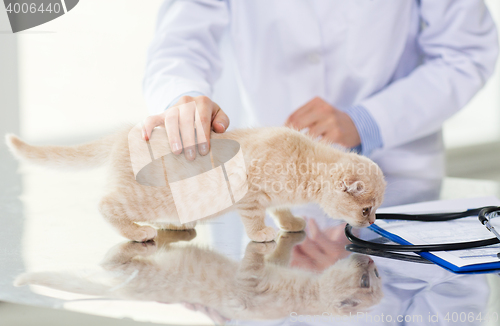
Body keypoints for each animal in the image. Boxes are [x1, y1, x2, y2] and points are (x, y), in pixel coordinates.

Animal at [4, 126, 386, 242]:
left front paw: (290, 222)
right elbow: (254, 216)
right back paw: (138, 232)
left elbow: (279, 208)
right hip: (146, 197)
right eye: (366, 209)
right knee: (106, 205)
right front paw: (262, 233)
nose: (371, 222)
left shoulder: (275, 194)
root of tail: (124, 132)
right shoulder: (248, 192)